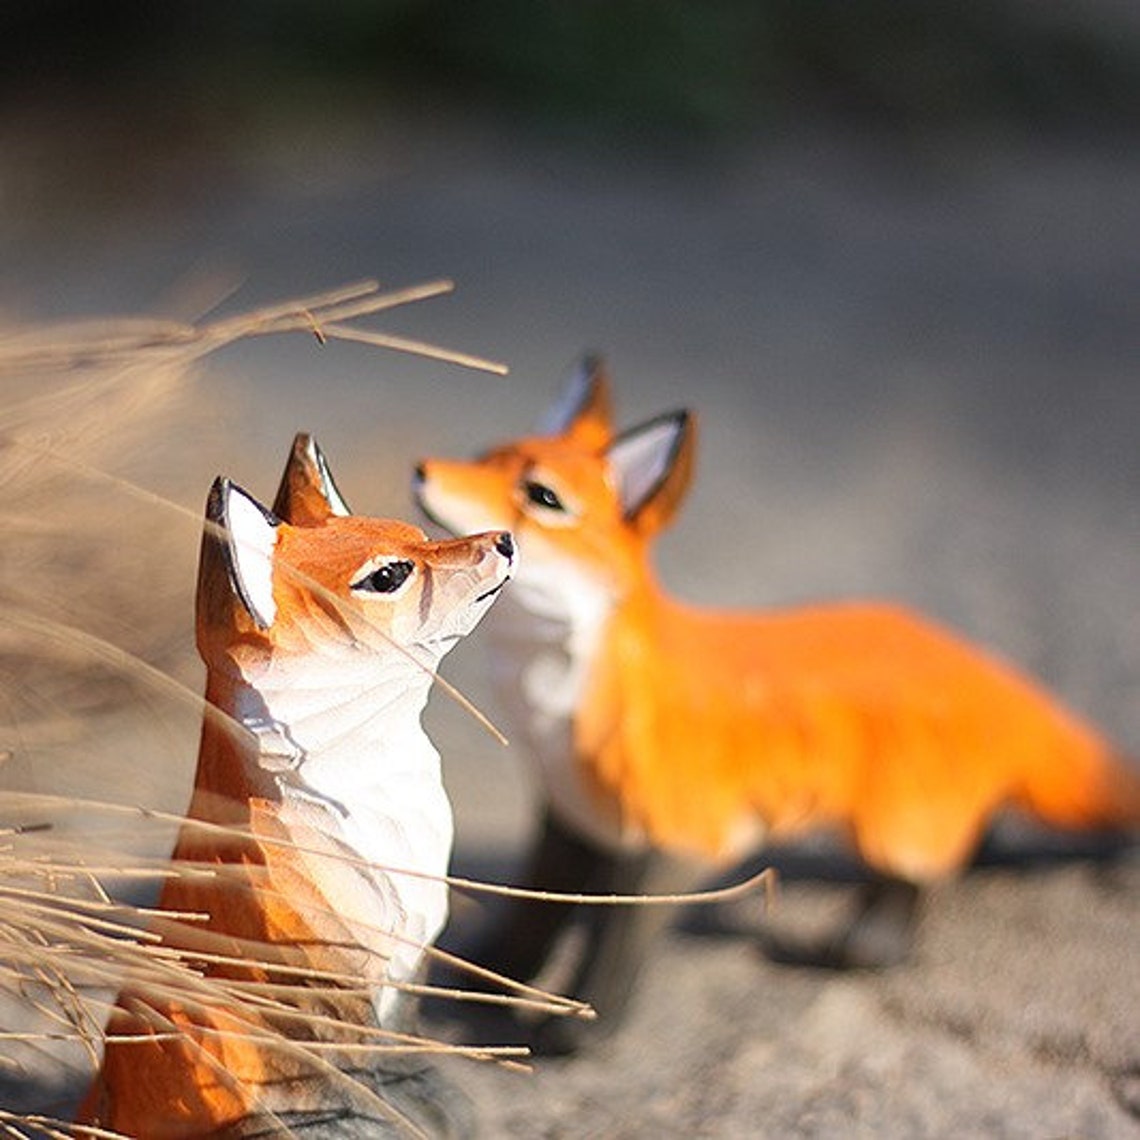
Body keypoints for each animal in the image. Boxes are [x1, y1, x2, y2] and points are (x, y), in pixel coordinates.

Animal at [79, 434, 514, 1136]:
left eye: (423, 536)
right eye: (390, 575)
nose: (503, 539)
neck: (383, 792)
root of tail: (94, 1103)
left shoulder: (411, 955)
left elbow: (400, 1049)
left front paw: (425, 1102)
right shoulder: (318, 975)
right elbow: (340, 1074)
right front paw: (362, 1123)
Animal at [414, 355, 1140, 1054]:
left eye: (541, 497)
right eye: (485, 456)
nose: (423, 470)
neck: (558, 719)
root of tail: (973, 655)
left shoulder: (679, 838)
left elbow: (614, 949)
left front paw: (580, 1033)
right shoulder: (573, 816)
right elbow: (533, 915)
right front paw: (483, 980)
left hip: (890, 823)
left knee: (909, 884)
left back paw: (867, 945)